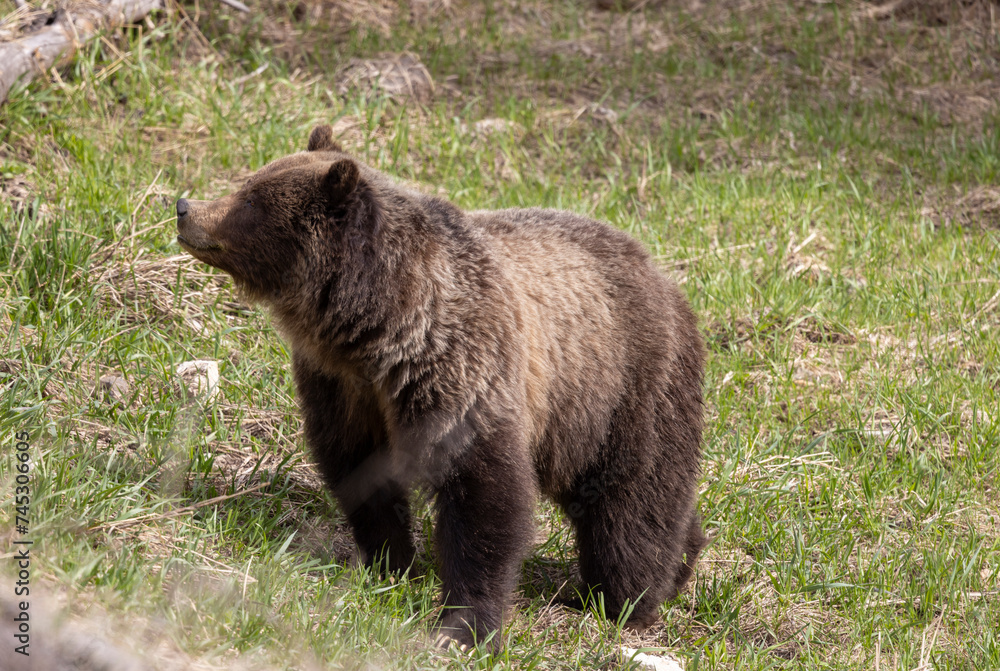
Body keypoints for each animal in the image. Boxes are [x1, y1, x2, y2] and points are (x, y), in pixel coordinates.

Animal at [175, 124, 706, 651]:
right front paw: (388, 563)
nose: (184, 207)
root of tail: (663, 275)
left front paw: (465, 625)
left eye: (249, 199)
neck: (380, 331)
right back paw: (682, 562)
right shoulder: (343, 387)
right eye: (249, 182)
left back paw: (622, 600)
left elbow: (483, 497)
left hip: (618, 387)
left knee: (632, 499)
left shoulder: (464, 370)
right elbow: (358, 471)